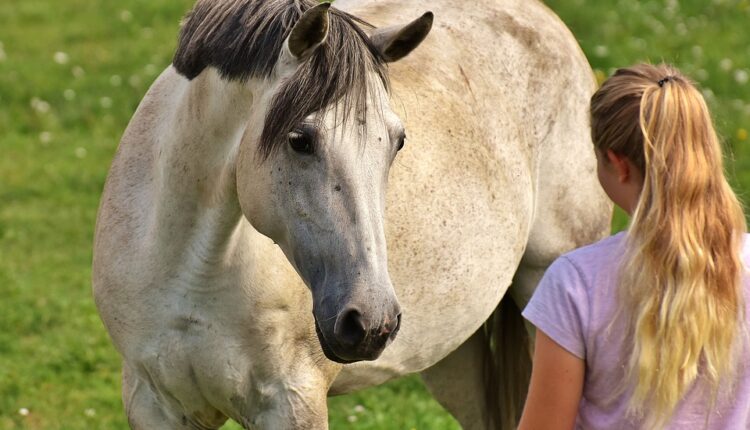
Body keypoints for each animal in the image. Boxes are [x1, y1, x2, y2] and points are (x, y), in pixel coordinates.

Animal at [92, 1, 612, 428]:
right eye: (300, 140)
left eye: (397, 142)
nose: (371, 322)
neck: (192, 271)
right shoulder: (153, 403)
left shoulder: (293, 402)